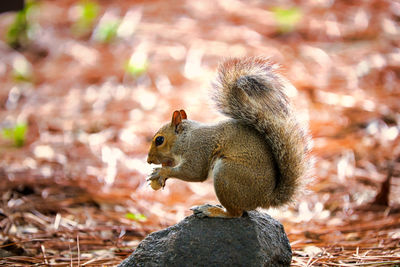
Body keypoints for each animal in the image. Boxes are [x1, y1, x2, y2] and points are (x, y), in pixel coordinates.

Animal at [145, 57, 310, 219]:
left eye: (159, 140)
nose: (148, 160)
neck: (186, 138)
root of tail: (265, 198)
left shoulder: (198, 150)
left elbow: (193, 173)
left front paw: (162, 172)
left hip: (227, 174)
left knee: (236, 213)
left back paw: (212, 211)